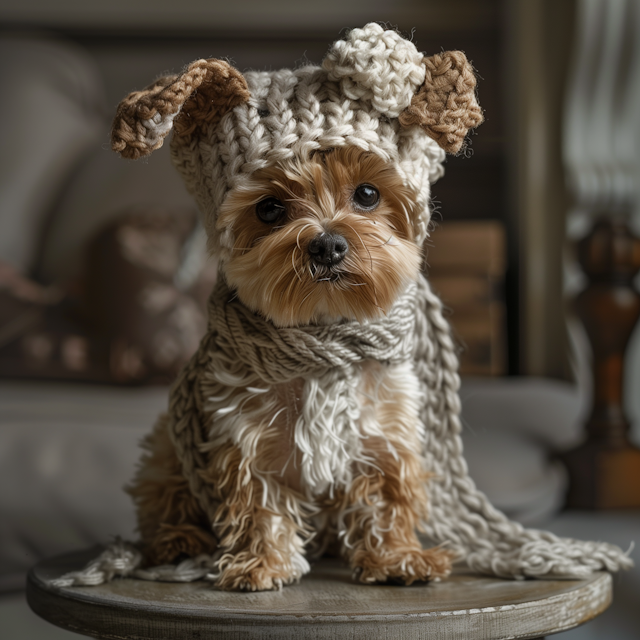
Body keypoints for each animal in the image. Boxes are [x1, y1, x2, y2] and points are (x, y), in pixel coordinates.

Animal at [112, 23, 482, 592]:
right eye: (269, 209)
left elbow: (386, 494)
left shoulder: (384, 430)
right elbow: (256, 502)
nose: (327, 245)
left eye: (368, 194)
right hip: (166, 449)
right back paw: (179, 541)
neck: (321, 337)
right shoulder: (241, 432)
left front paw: (397, 557)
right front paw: (262, 563)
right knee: (162, 497)